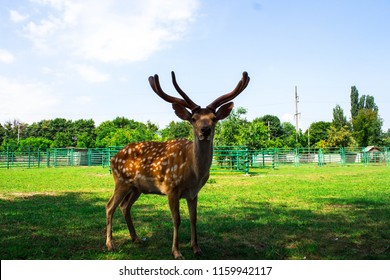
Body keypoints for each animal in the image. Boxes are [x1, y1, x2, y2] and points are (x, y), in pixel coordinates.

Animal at [105, 71, 250, 260]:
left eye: (214, 119)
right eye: (194, 119)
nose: (205, 130)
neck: (194, 173)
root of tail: (113, 157)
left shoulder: (193, 193)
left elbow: (194, 218)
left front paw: (196, 248)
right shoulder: (171, 188)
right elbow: (177, 219)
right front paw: (176, 252)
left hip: (136, 188)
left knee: (124, 207)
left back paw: (136, 238)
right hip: (121, 181)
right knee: (109, 206)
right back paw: (110, 244)